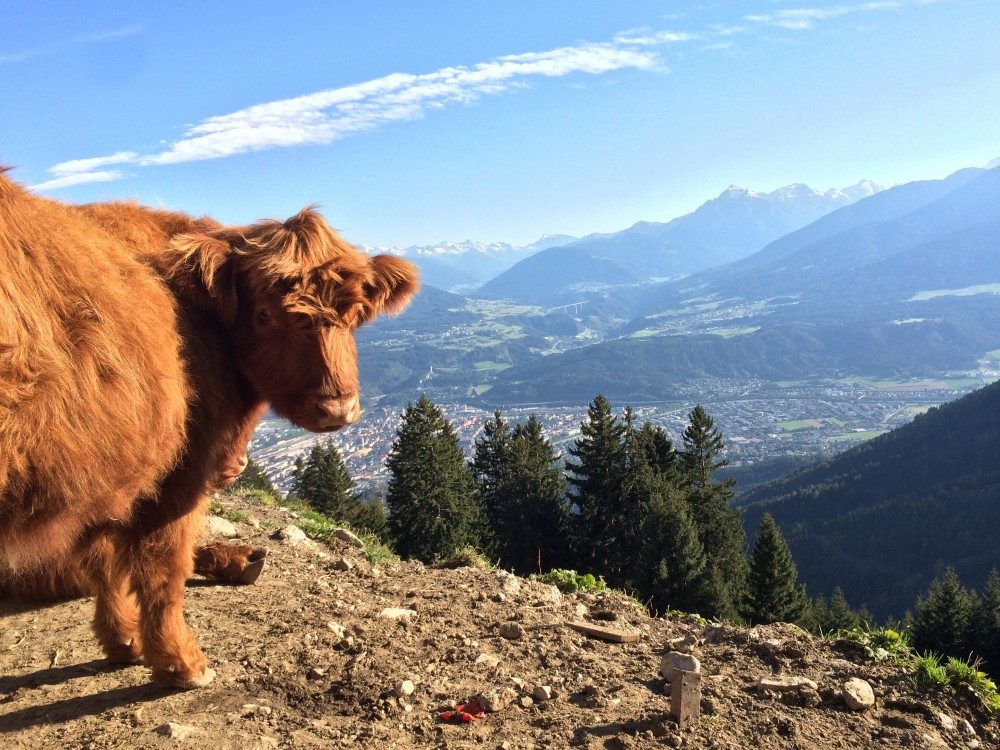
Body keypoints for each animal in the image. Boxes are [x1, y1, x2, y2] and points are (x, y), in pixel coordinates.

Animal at [0, 173, 418, 692]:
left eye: (356, 315)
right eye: (264, 315)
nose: (337, 408)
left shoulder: (111, 474)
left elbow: (107, 561)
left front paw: (123, 640)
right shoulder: (178, 474)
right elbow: (163, 568)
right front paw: (180, 662)